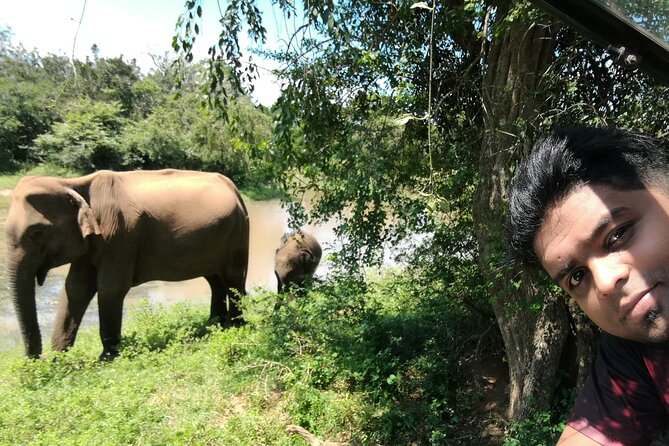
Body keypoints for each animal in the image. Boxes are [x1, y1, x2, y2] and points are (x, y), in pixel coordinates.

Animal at [5, 169, 249, 360]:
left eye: (37, 232)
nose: (34, 361)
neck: (72, 183)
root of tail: (234, 188)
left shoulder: (119, 238)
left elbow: (110, 289)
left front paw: (107, 358)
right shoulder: (92, 243)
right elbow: (75, 289)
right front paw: (59, 360)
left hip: (238, 232)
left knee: (233, 278)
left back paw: (235, 326)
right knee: (214, 279)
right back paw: (214, 324)